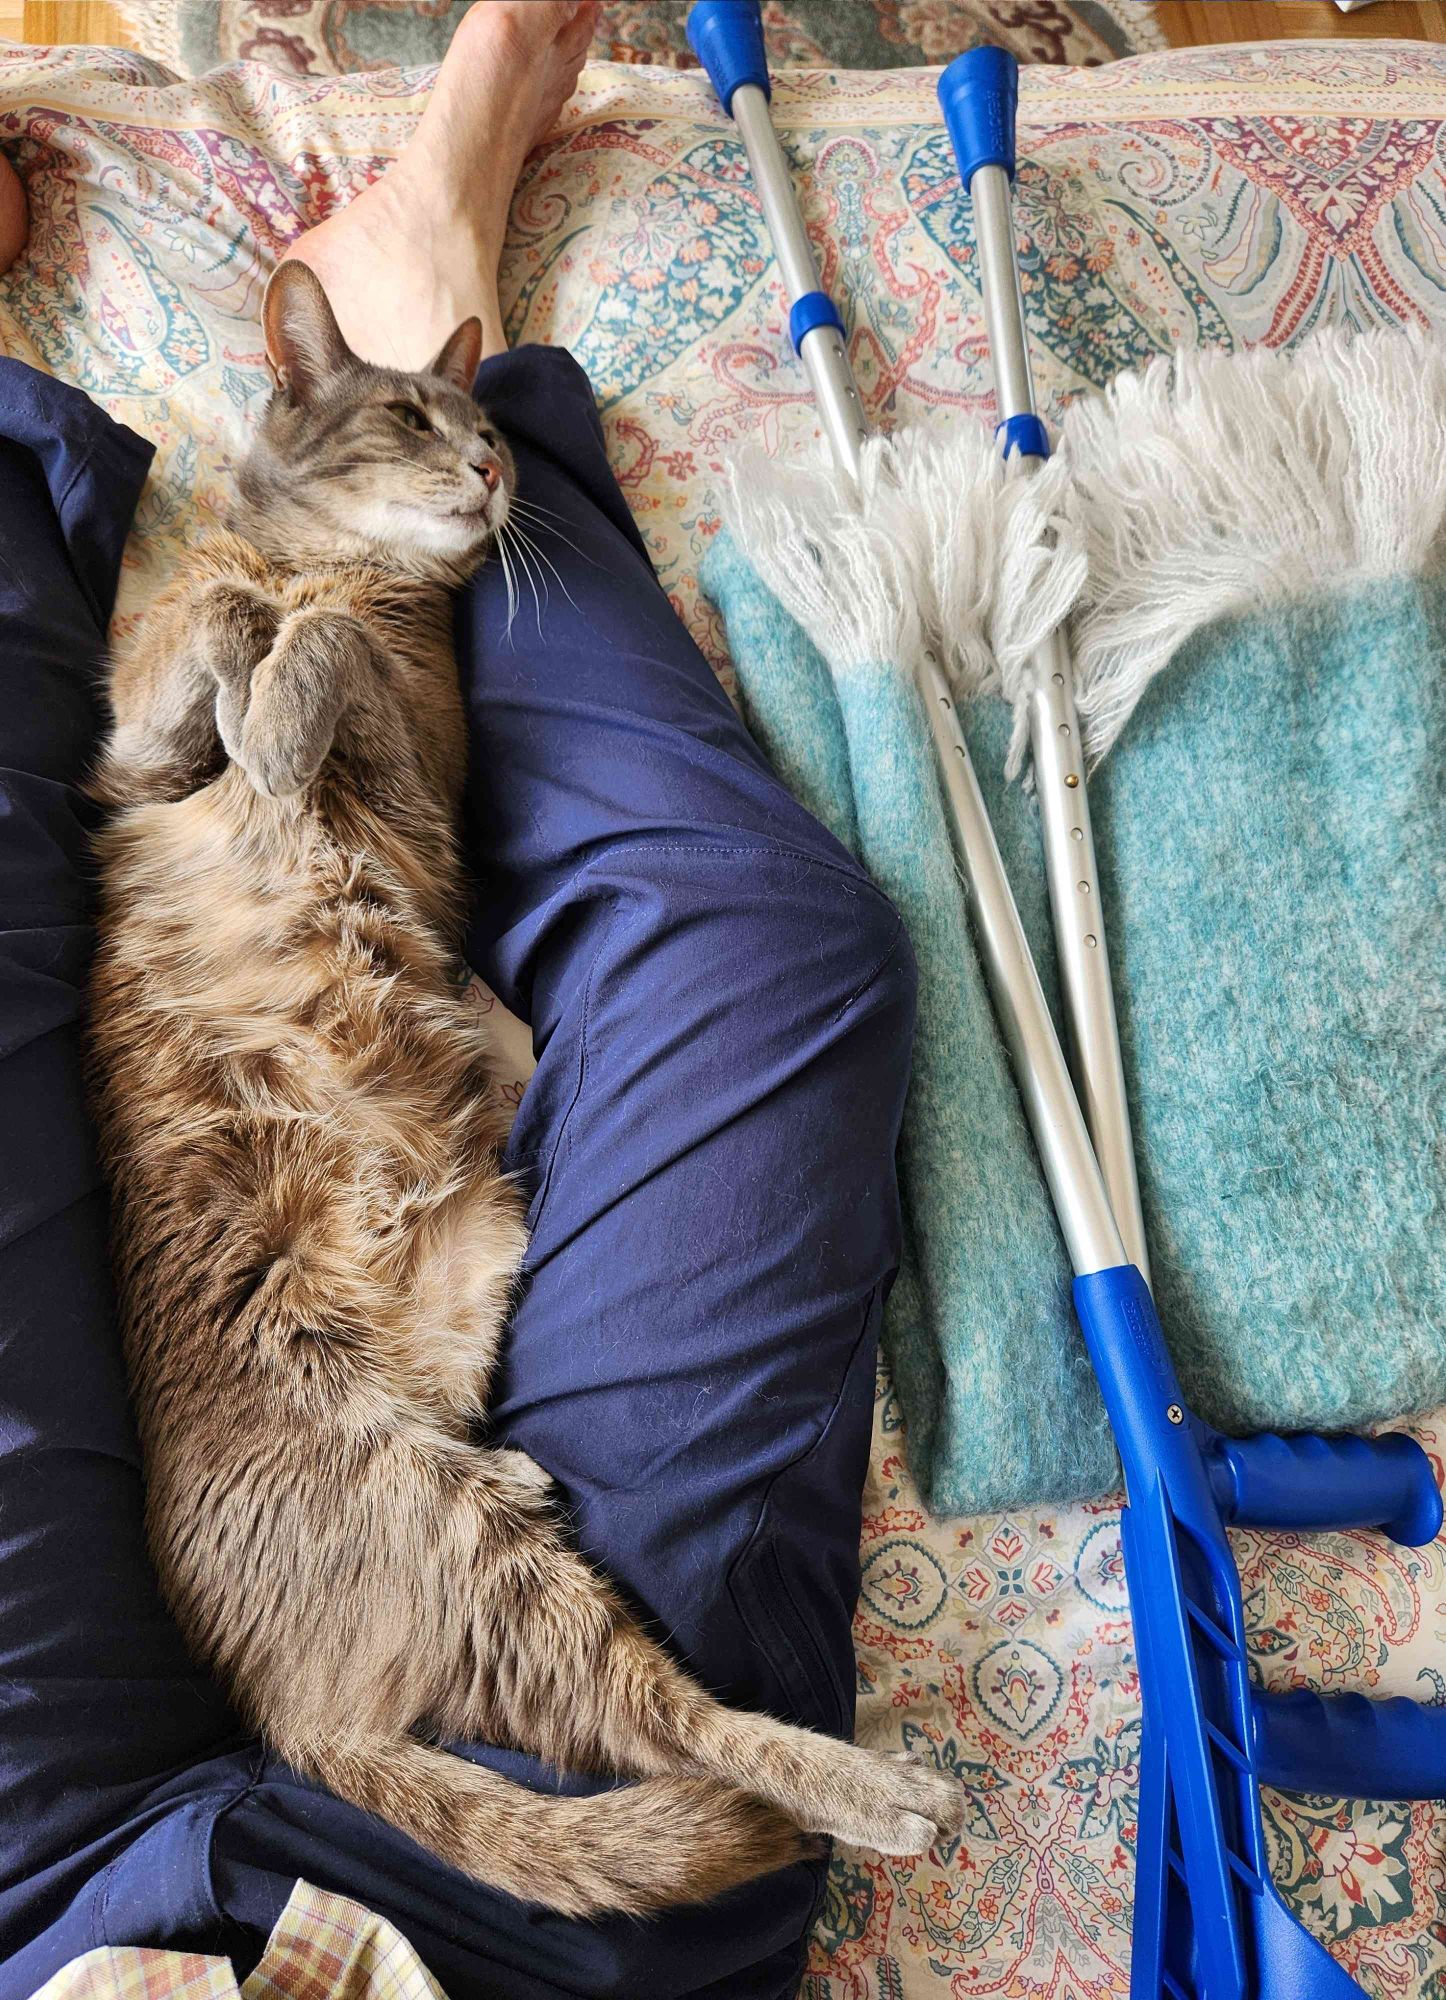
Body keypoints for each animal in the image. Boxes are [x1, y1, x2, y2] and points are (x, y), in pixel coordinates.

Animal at [87, 258, 960, 1912]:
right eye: (410, 418)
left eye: (484, 426)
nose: (493, 470)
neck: (329, 558)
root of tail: (285, 1721)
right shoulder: (132, 757)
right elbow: (210, 626)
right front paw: (252, 673)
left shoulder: (422, 776)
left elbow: (328, 657)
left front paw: (278, 702)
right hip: (456, 1509)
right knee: (634, 1715)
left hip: (470, 1515)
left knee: (665, 1718)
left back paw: (872, 1786)